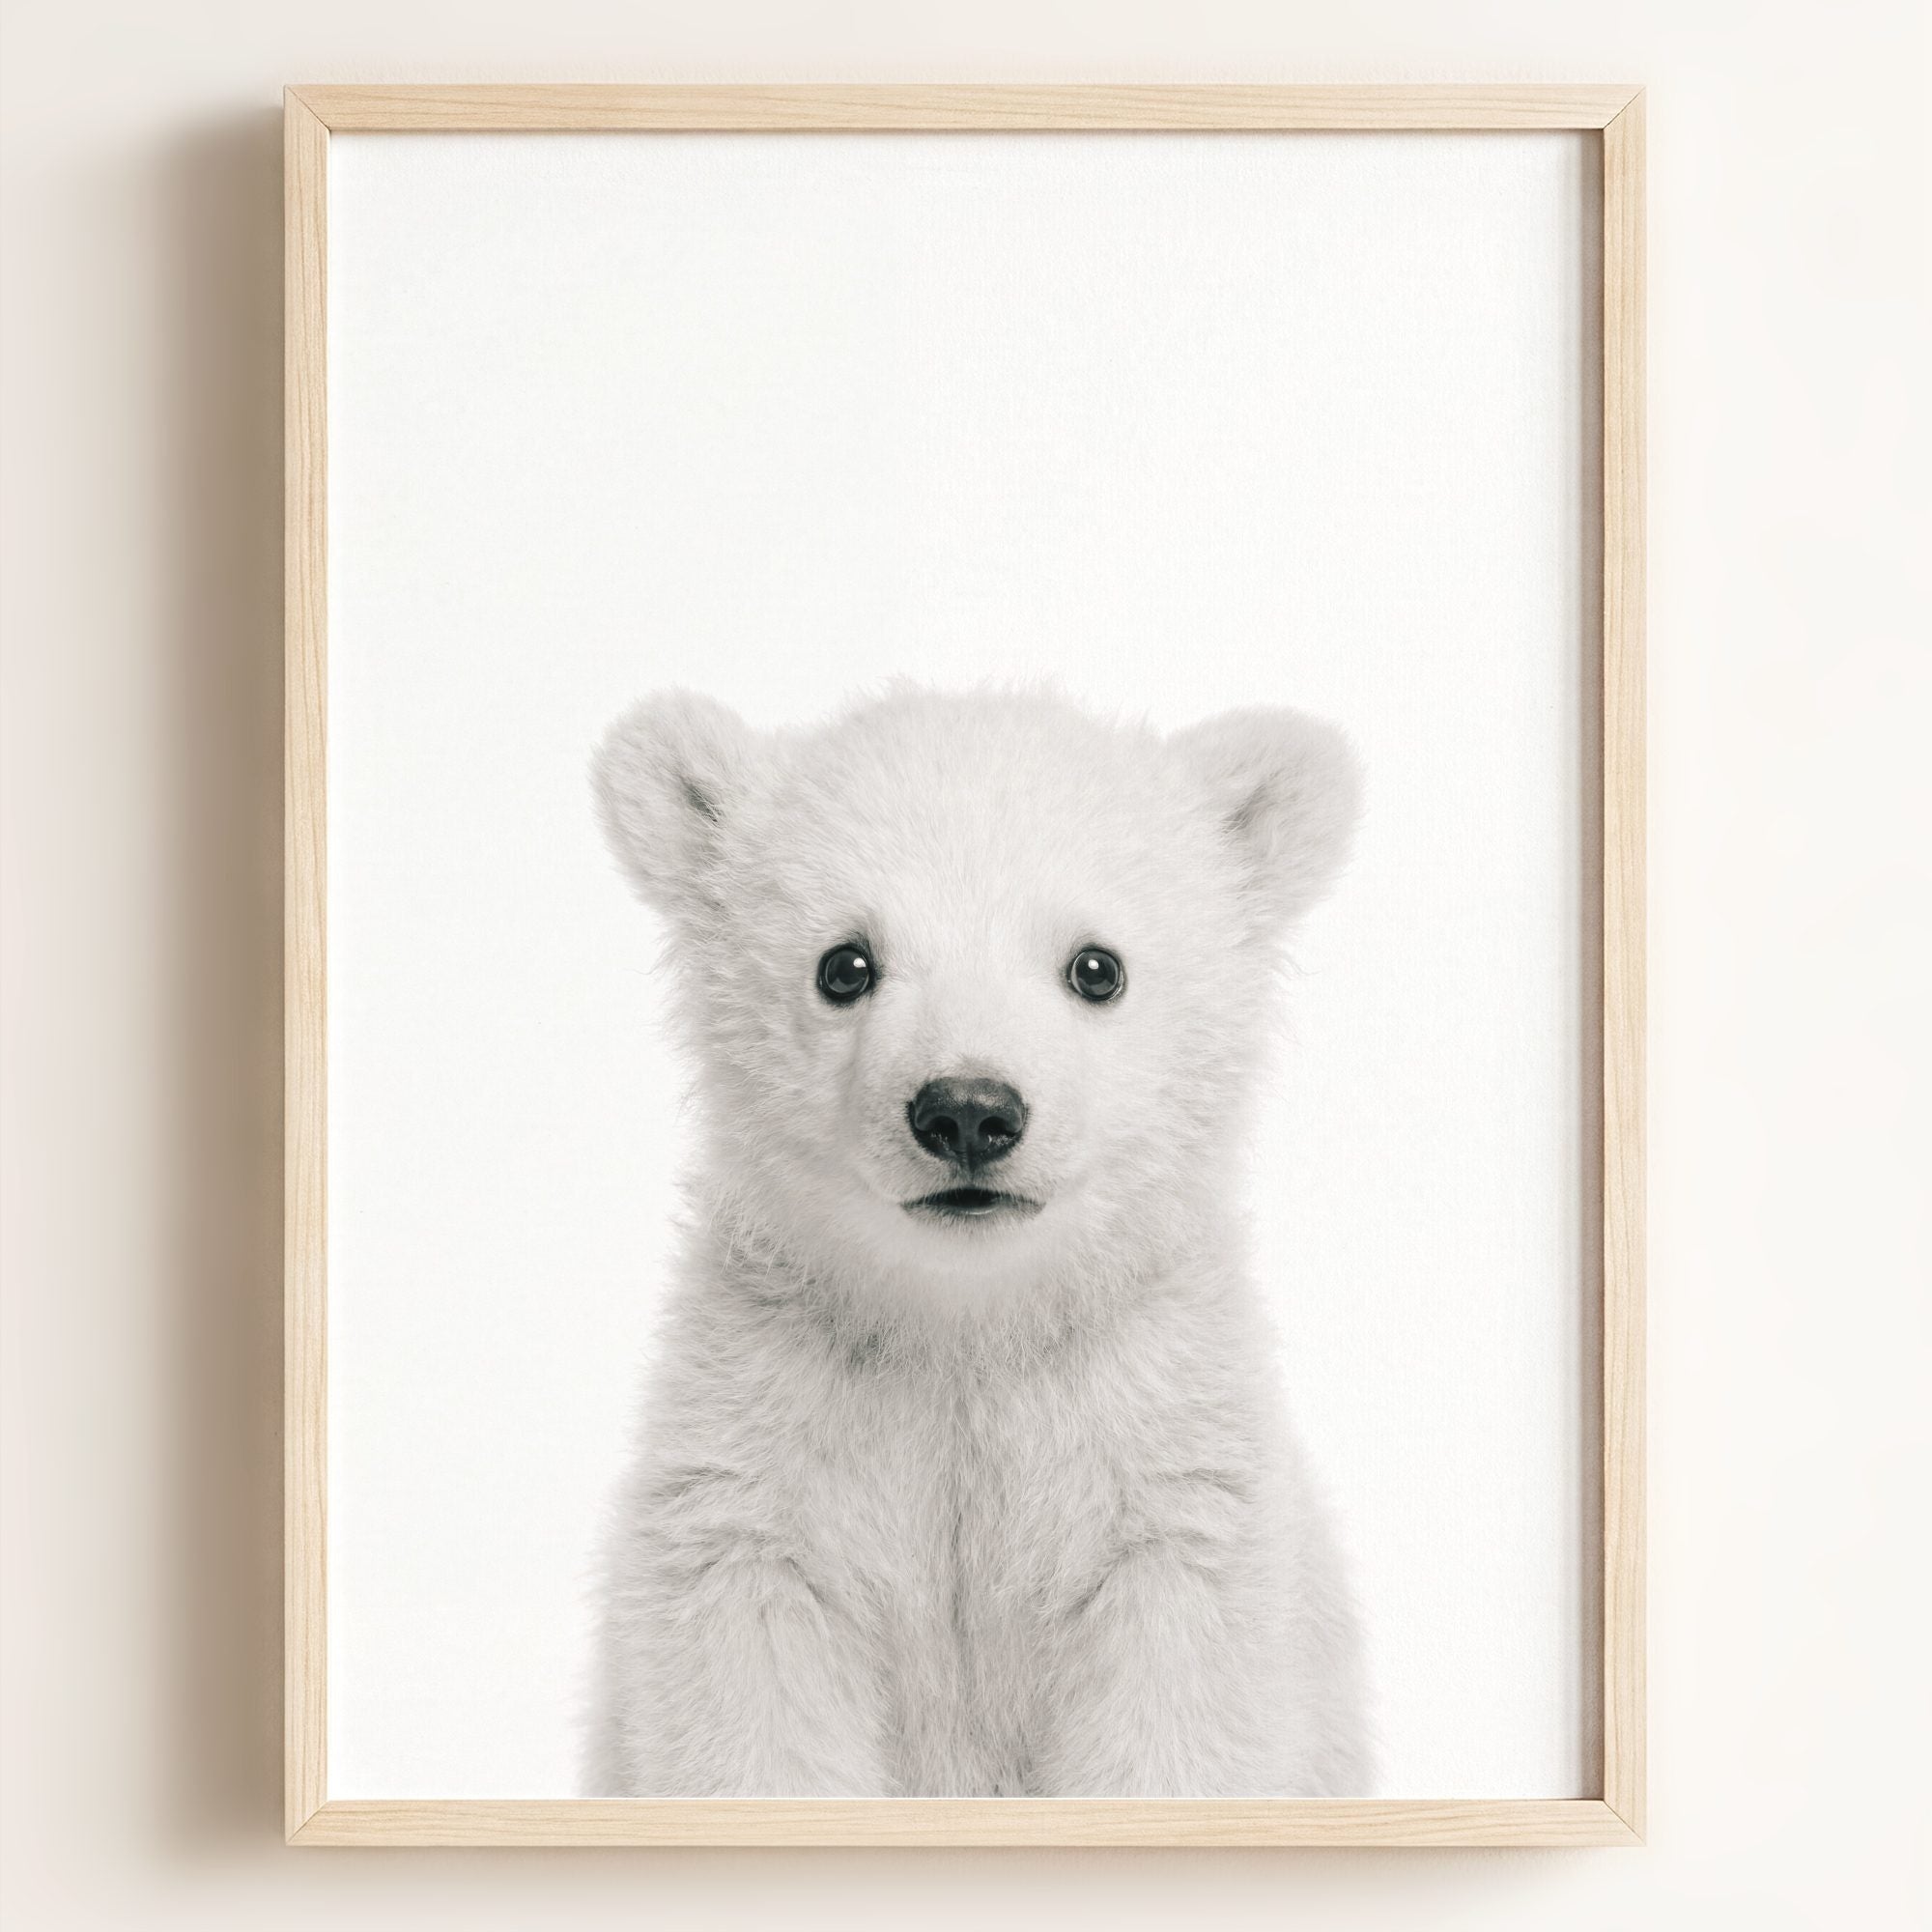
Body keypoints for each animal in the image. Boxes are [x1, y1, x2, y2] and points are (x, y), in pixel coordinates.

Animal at [583, 683, 1372, 1797]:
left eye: (1096, 966)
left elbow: (1176, 1720)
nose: (966, 1111)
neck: (966, 1327)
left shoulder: (1162, 1474)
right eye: (844, 963)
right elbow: (754, 1714)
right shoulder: (758, 1465)